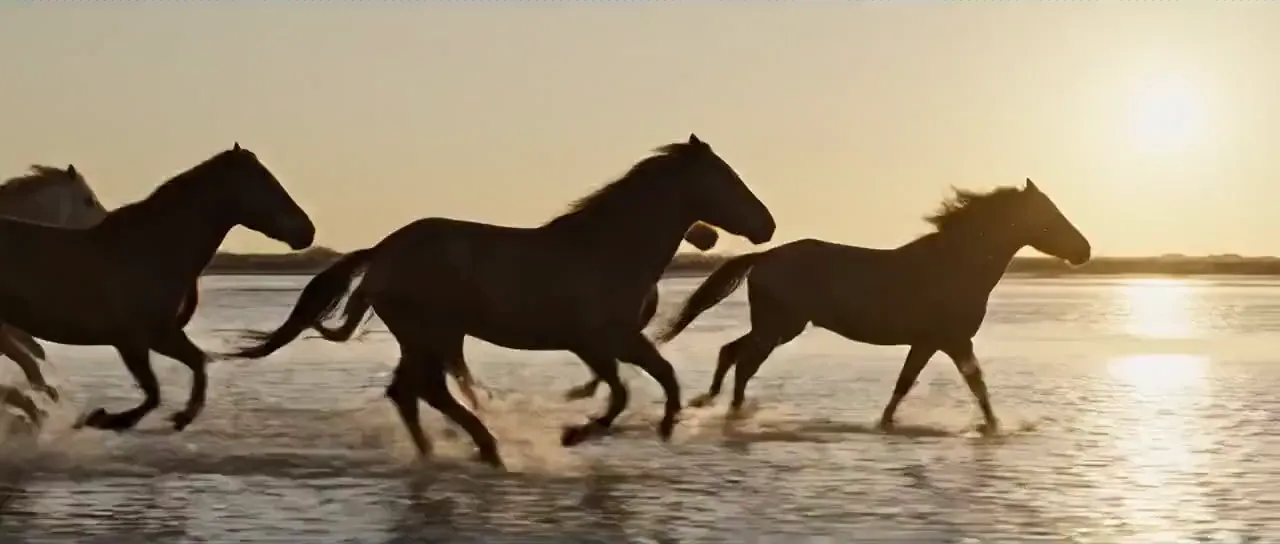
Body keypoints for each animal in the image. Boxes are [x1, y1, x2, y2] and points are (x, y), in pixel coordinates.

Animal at [0, 143, 314, 433]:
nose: (308, 231)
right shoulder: (140, 339)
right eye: (264, 182)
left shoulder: (158, 336)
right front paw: (106, 419)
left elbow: (195, 364)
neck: (152, 249)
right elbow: (157, 391)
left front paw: (178, 417)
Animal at [228, 134, 775, 468]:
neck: (609, 247)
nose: (766, 225)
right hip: (431, 333)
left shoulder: (602, 344)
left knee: (408, 392)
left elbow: (642, 382)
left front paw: (628, 427)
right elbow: (639, 386)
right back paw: (487, 449)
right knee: (425, 390)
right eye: (727, 179)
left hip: (424, 337)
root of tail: (384, 251)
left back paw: (443, 452)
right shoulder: (605, 339)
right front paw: (584, 432)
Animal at [653, 179, 1090, 435]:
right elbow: (975, 385)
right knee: (743, 362)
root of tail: (765, 257)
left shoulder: (930, 342)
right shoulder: (952, 340)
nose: (1084, 251)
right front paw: (996, 428)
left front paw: (885, 423)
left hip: (777, 327)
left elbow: (906, 383)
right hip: (779, 327)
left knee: (731, 352)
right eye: (1050, 216)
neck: (956, 264)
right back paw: (731, 413)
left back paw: (717, 406)